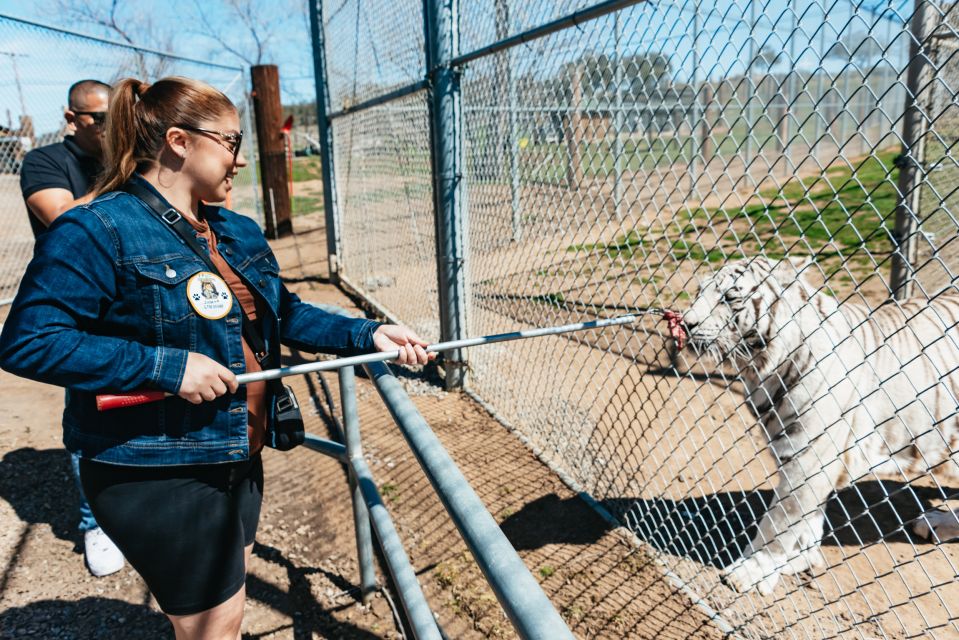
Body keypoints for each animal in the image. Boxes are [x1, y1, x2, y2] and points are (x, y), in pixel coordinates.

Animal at [684, 258, 959, 596]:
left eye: (729, 297)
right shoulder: (798, 454)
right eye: (699, 290)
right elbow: (807, 519)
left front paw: (753, 570)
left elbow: (778, 522)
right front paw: (800, 558)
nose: (685, 323)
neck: (761, 370)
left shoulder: (809, 458)